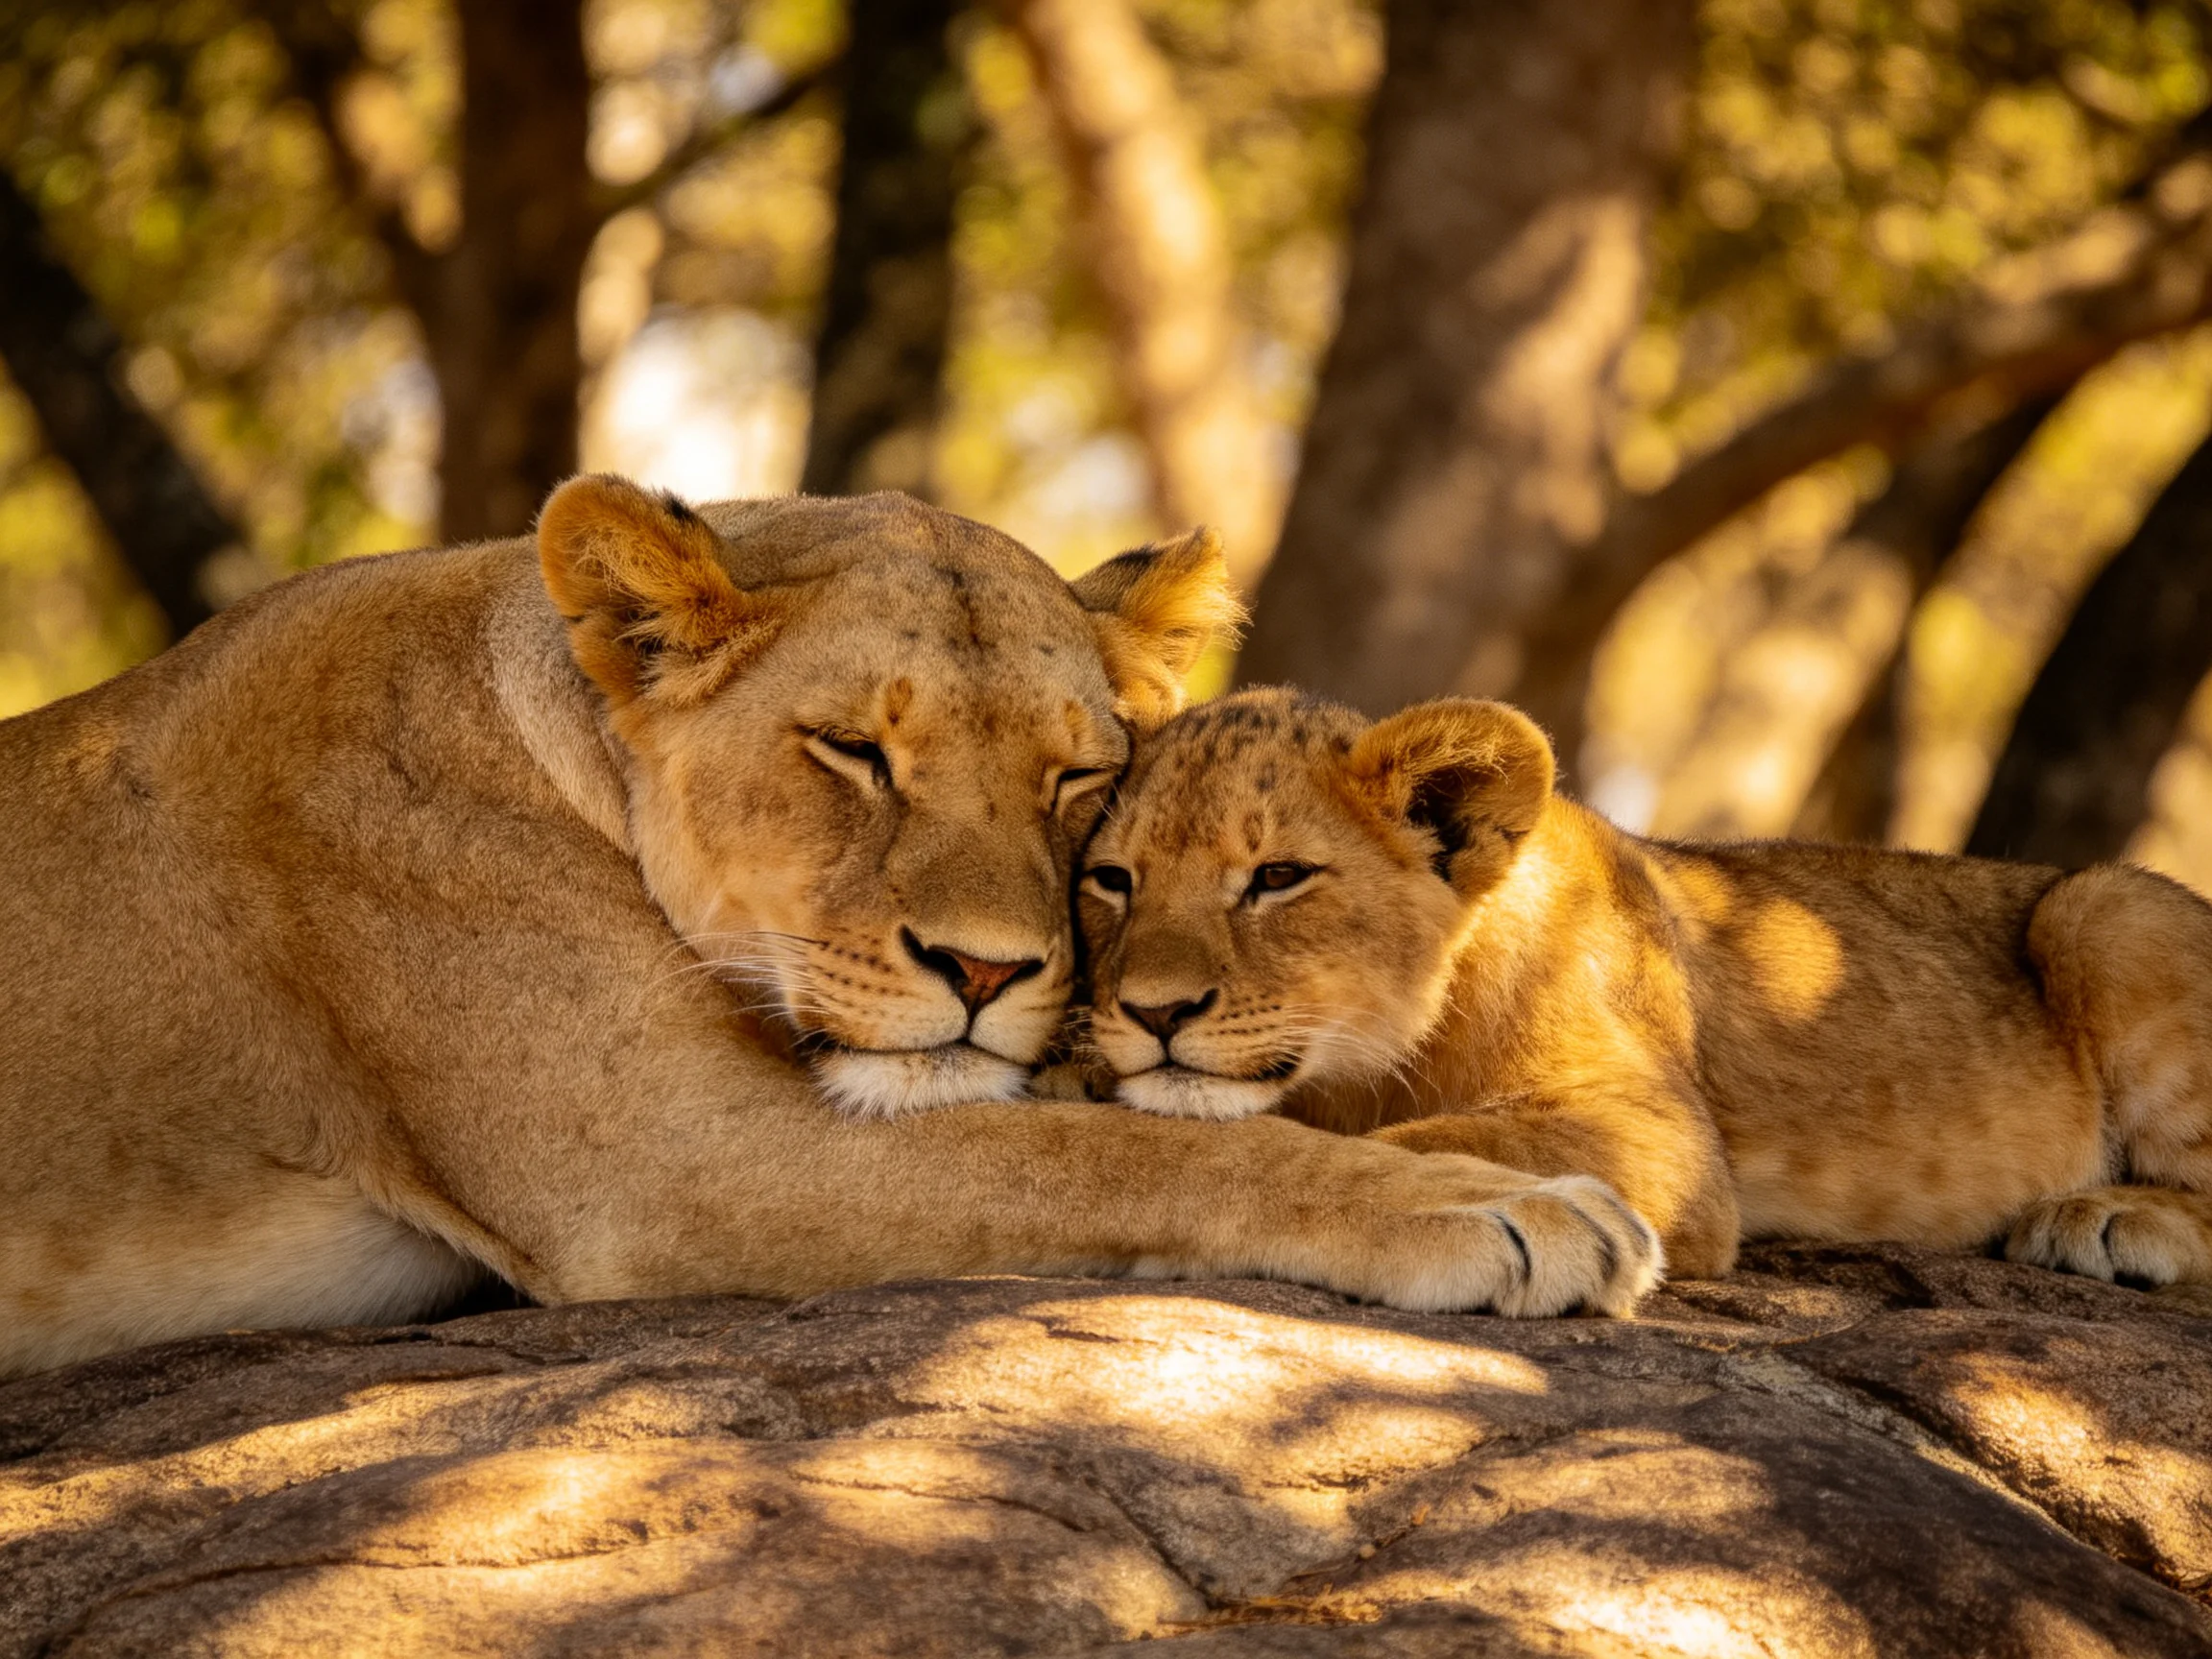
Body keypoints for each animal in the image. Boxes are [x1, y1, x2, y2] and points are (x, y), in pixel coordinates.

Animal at [0, 481, 1632, 1377]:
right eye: (854, 753)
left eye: (1075, 778)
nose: (985, 970)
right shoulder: (669, 1164)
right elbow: (1119, 1151)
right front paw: (1505, 1206)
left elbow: (1113, 1121)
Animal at [1076, 686, 2212, 1297]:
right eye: (1112, 878)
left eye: (1277, 877)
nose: (1155, 1013)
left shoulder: (1663, 1136)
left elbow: (1433, 1139)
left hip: (2105, 908)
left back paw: (2104, 1219)